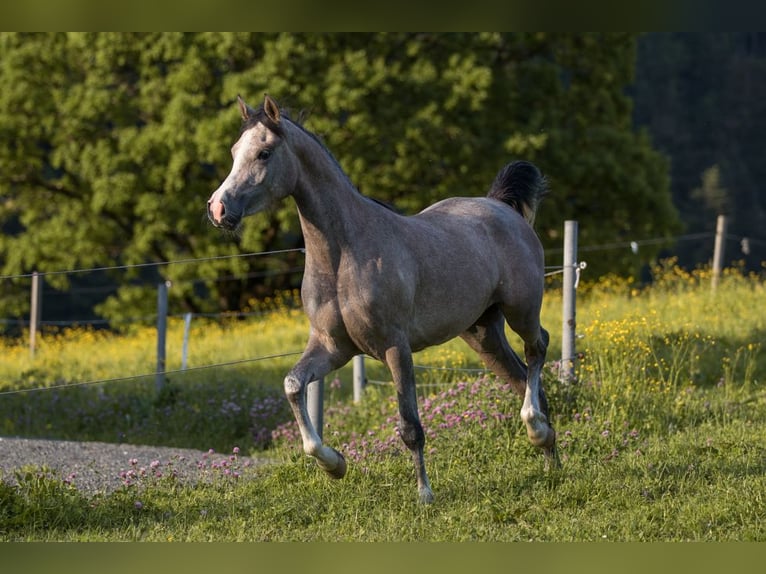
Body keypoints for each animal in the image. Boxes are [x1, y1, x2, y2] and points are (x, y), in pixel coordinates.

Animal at [208, 93, 560, 504]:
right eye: (234, 151)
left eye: (264, 153)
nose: (218, 208)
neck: (344, 254)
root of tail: (501, 206)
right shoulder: (332, 347)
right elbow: (293, 386)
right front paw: (335, 465)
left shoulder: (395, 346)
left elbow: (410, 426)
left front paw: (425, 495)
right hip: (482, 333)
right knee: (521, 377)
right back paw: (551, 461)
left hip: (522, 309)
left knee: (537, 349)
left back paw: (536, 429)